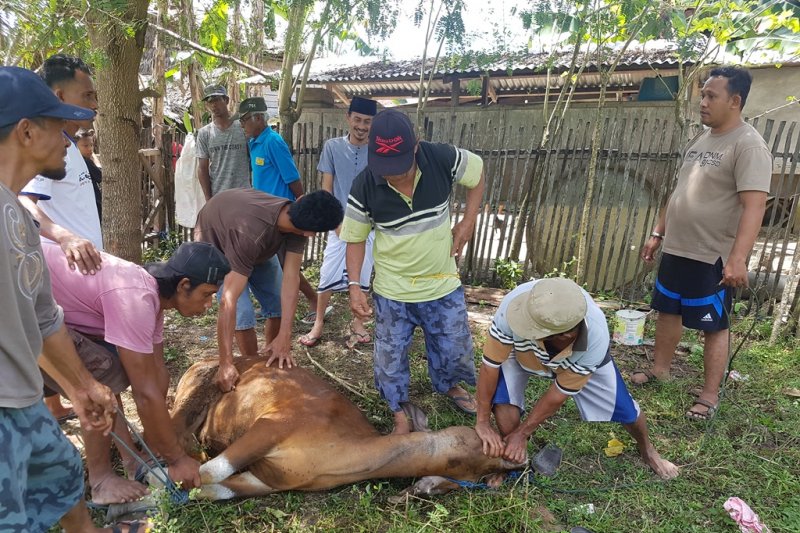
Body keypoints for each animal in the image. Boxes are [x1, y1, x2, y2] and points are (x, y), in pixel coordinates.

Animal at [170, 356, 524, 500]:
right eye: (481, 440)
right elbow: (207, 473)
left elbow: (208, 488)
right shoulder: (274, 423)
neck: (339, 454)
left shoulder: (267, 481)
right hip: (196, 390)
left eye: (469, 479)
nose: (516, 462)